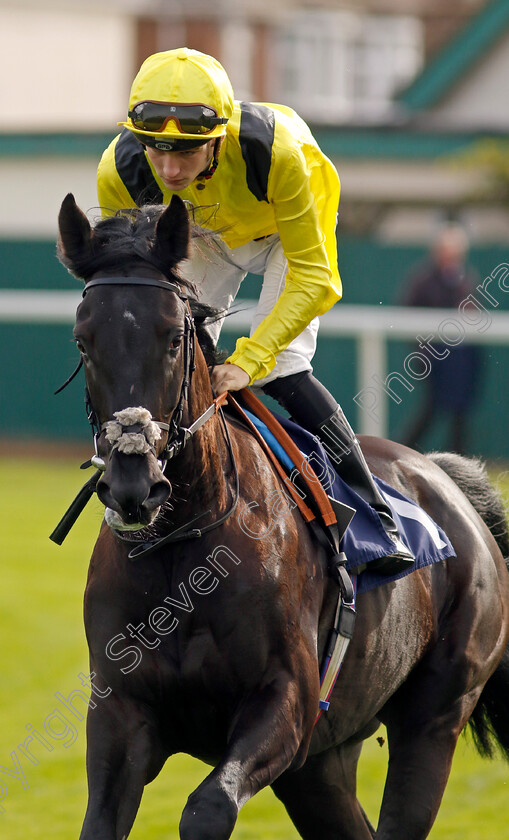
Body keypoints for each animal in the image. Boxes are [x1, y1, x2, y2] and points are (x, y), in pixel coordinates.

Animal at [57, 195, 508, 840]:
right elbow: (101, 818)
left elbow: (207, 809)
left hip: (436, 717)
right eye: (83, 341)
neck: (182, 551)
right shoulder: (121, 713)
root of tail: (449, 481)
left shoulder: (288, 704)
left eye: (173, 339)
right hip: (321, 764)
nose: (133, 488)